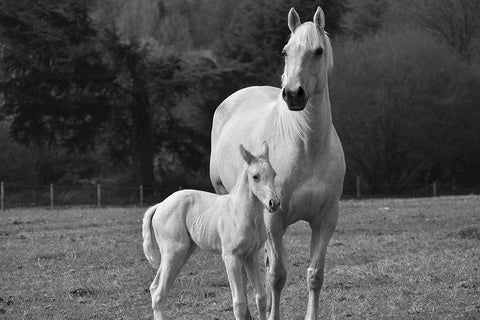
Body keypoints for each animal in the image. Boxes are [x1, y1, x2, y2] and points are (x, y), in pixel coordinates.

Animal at [141, 142, 280, 320]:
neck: (241, 212)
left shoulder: (251, 256)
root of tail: (159, 206)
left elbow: (261, 297)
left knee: (155, 288)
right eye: (255, 176)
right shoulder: (230, 257)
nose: (273, 203)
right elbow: (239, 303)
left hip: (182, 253)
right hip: (174, 252)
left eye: (274, 174)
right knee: (159, 293)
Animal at [210, 5, 344, 320]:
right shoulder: (274, 219)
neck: (305, 145)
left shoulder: (326, 219)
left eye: (318, 51)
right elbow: (277, 276)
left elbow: (314, 275)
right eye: (285, 51)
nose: (293, 94)